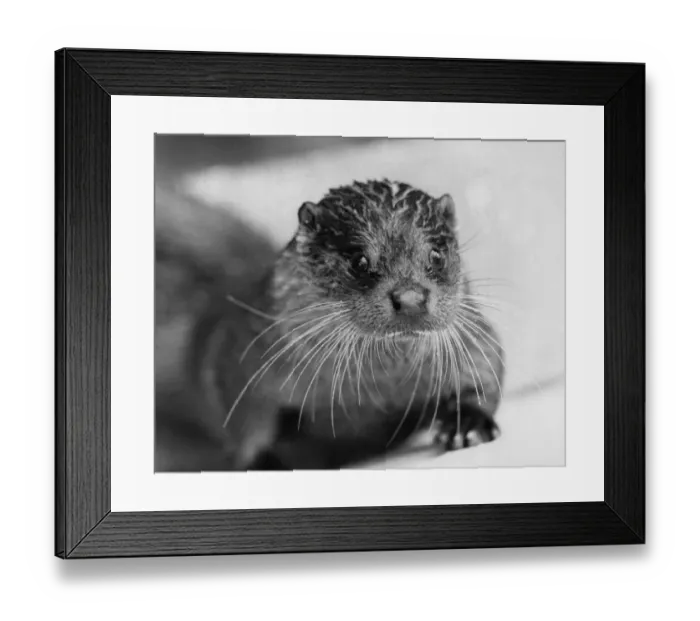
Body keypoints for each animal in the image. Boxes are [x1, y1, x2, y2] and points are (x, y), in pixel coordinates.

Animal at [155, 180, 504, 471]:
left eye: (436, 256)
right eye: (359, 261)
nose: (410, 298)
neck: (372, 393)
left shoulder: (472, 334)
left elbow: (488, 368)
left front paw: (468, 423)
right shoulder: (245, 353)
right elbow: (245, 417)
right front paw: (261, 461)